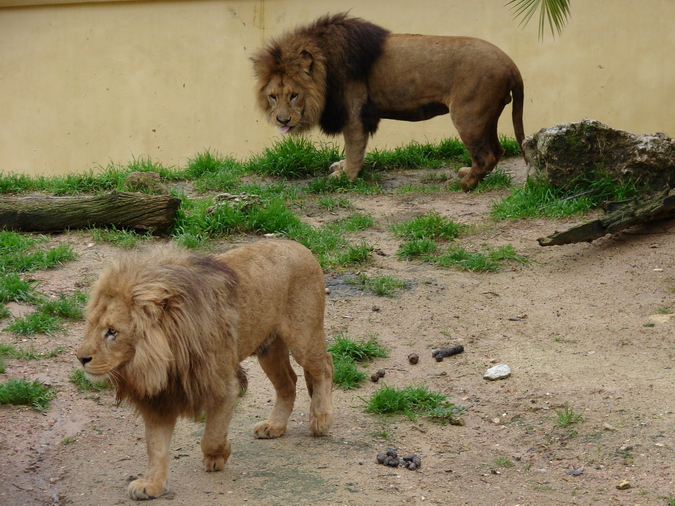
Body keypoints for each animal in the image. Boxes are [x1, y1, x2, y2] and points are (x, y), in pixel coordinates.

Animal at [75, 240, 334, 500]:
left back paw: (321, 420)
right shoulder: (160, 398)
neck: (161, 361)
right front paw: (152, 484)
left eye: (112, 332)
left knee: (325, 366)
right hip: (268, 348)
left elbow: (212, 436)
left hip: (304, 338)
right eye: (92, 325)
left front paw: (219, 454)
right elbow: (155, 447)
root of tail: (297, 243)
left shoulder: (224, 385)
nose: (80, 358)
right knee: (288, 382)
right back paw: (275, 426)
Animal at [251, 13, 526, 190]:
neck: (325, 67)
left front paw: (346, 178)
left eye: (294, 95)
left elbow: (354, 147)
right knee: (496, 151)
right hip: (486, 116)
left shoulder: (354, 113)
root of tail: (510, 63)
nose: (282, 120)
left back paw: (462, 184)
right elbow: (353, 149)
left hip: (468, 114)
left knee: (486, 155)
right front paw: (342, 168)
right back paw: (468, 174)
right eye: (273, 96)